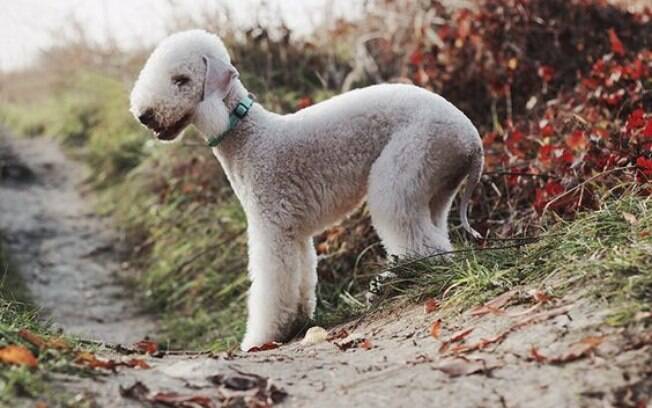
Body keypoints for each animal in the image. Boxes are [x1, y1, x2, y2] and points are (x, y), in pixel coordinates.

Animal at [129, 29, 484, 350]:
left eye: (181, 79)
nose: (145, 116)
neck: (247, 135)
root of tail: (471, 138)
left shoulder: (271, 227)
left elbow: (272, 285)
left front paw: (260, 339)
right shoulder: (293, 231)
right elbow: (300, 278)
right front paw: (297, 322)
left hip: (405, 168)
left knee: (421, 244)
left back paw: (399, 284)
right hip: (434, 186)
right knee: (437, 238)